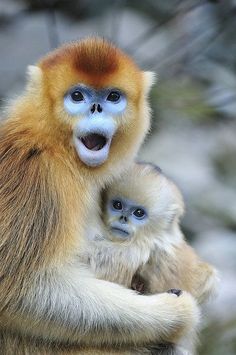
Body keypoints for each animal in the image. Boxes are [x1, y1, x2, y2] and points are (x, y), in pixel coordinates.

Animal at [0, 37, 199, 354]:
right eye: (77, 96)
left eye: (113, 96)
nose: (96, 108)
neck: (57, 148)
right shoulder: (36, 176)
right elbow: (26, 293)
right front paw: (178, 312)